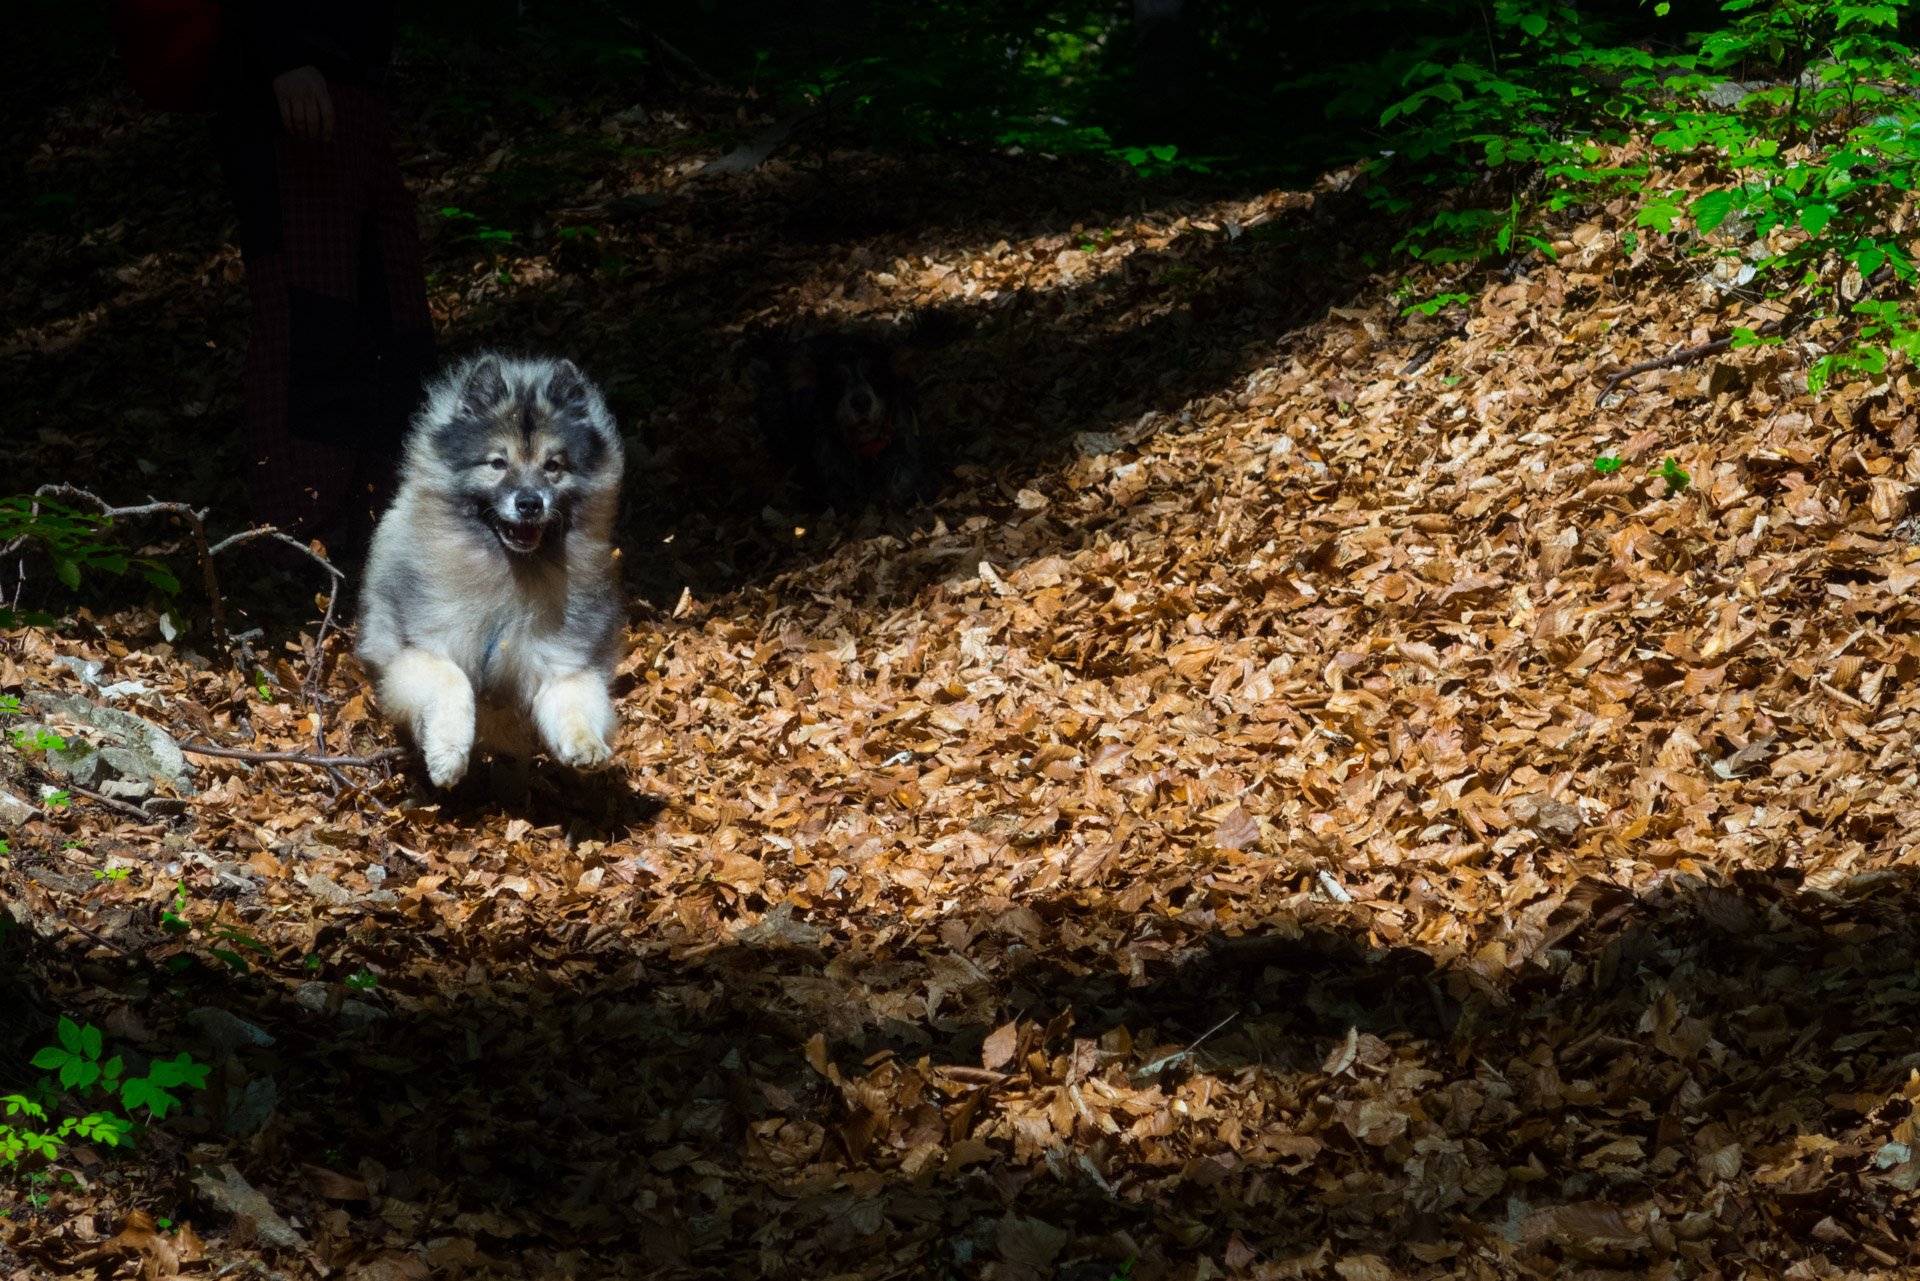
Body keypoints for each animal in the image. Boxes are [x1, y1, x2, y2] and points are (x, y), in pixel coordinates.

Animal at [357, 353, 625, 791]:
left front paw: (586, 747)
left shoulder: (560, 663)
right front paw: (448, 755)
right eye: (498, 463)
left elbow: (575, 702)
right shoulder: (421, 650)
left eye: (553, 466)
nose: (530, 503)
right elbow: (453, 680)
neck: (510, 574)